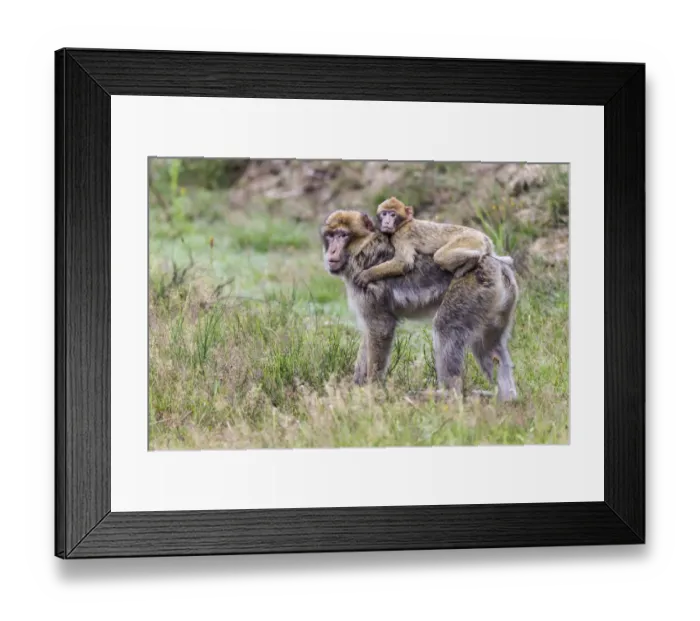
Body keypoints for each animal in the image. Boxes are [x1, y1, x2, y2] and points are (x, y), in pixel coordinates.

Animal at [321, 209, 518, 400]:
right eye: (330, 236)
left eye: (343, 235)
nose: (331, 251)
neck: (362, 249)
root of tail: (497, 263)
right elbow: (369, 334)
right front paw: (357, 387)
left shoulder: (368, 288)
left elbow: (381, 328)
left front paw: (372, 391)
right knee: (488, 346)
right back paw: (507, 398)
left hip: (471, 288)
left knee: (446, 328)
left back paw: (448, 393)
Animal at [352, 197, 513, 289]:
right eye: (384, 213)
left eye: (393, 215)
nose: (386, 222)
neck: (403, 224)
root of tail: (485, 238)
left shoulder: (401, 236)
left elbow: (404, 263)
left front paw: (367, 274)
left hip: (468, 239)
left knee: (440, 256)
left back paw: (472, 259)